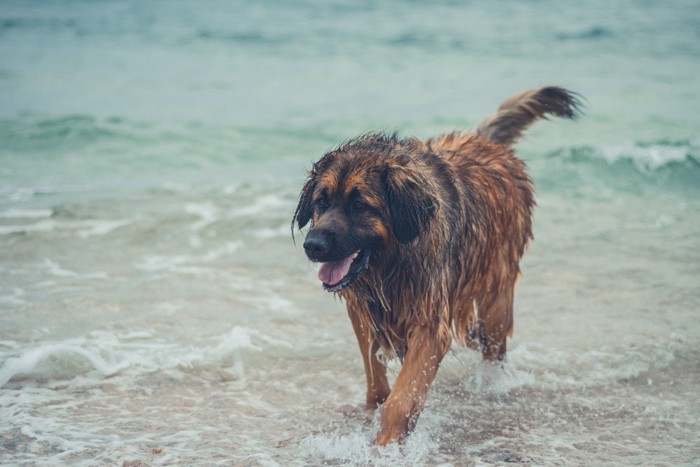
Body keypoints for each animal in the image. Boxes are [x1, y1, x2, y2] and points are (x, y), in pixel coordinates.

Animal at [292, 85, 584, 446]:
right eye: (321, 201)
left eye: (360, 206)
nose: (313, 245)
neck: (392, 264)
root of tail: (485, 140)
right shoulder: (363, 312)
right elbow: (376, 381)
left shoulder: (429, 325)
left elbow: (402, 398)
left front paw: (385, 445)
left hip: (496, 297)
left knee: (494, 348)